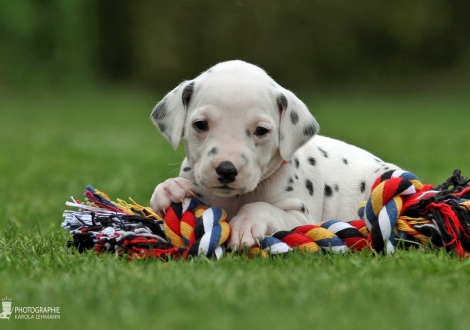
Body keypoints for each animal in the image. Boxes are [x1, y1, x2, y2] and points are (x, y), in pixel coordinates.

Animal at [149, 60, 398, 250]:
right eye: (200, 124)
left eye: (261, 130)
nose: (227, 170)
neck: (236, 198)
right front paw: (170, 188)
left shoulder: (300, 218)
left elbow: (261, 207)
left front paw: (245, 224)